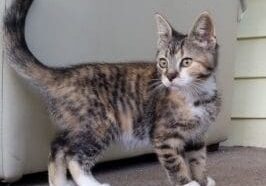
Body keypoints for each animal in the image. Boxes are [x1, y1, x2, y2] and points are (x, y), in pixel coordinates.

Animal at [3, 0, 220, 186]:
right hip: (99, 124)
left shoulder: (197, 135)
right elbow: (175, 162)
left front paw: (202, 179)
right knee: (73, 156)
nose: (170, 77)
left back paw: (60, 182)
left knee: (58, 146)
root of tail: (64, 74)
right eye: (163, 63)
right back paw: (90, 183)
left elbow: (198, 158)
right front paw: (187, 182)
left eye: (186, 62)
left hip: (77, 125)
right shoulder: (163, 135)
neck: (197, 96)